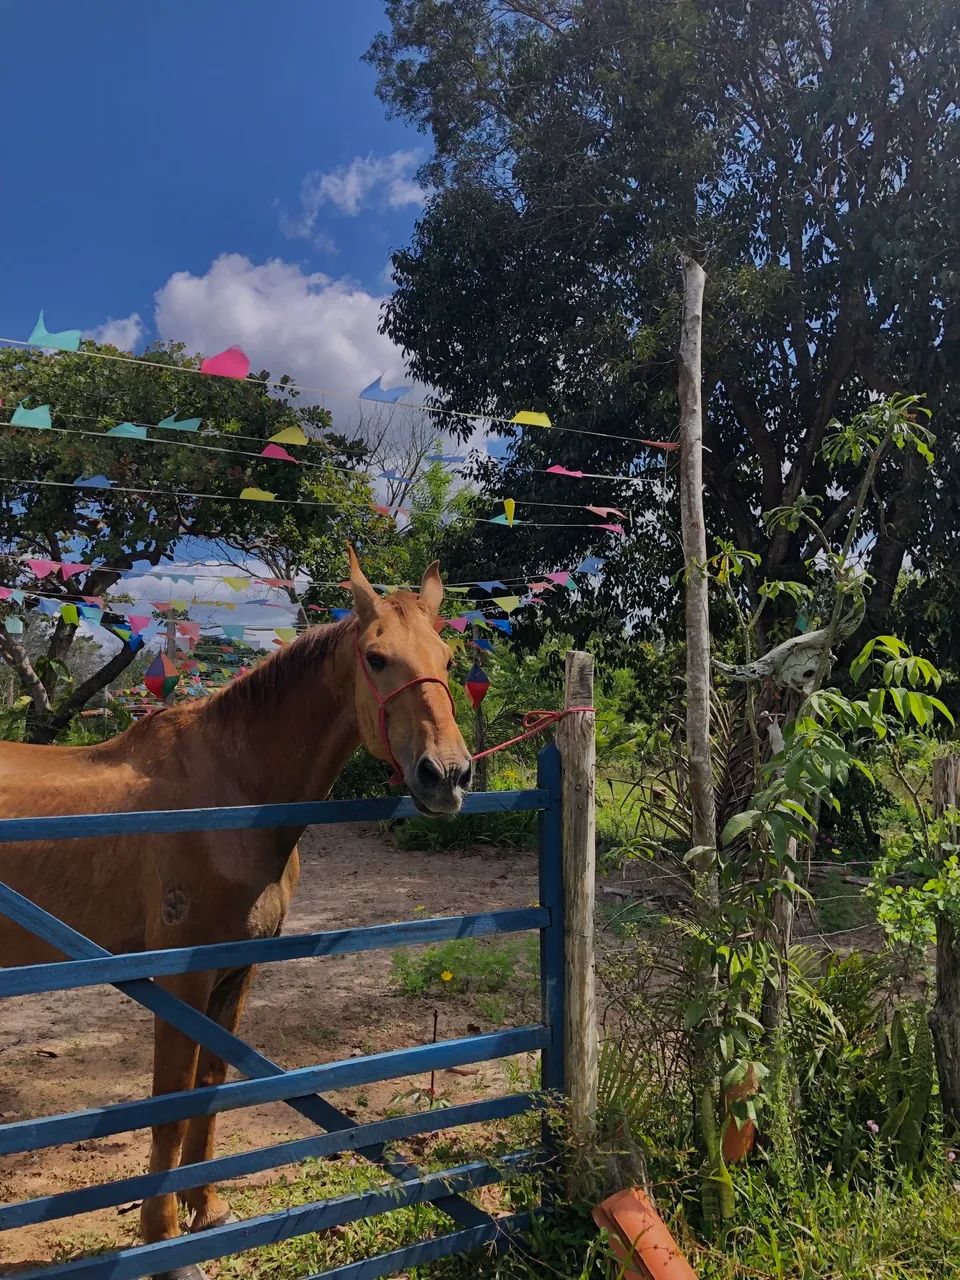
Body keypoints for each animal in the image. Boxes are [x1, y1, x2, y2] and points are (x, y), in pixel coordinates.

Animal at [0, 549, 472, 1279]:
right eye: (376, 658)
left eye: (446, 659)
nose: (445, 775)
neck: (234, 796)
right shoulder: (182, 979)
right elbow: (172, 1104)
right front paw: (165, 1242)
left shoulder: (237, 970)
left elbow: (213, 1085)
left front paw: (208, 1209)